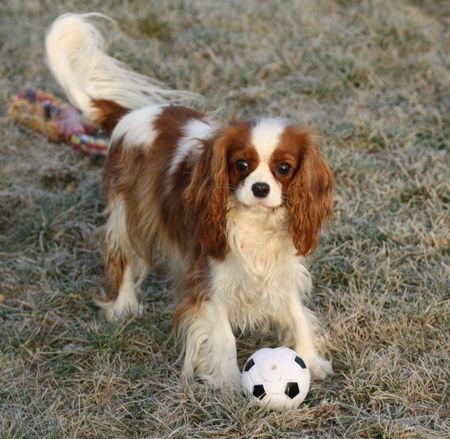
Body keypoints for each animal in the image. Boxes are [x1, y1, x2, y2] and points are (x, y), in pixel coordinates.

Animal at [45, 12, 334, 384]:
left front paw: (311, 360)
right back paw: (123, 306)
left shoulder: (281, 270)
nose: (260, 188)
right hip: (129, 214)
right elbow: (223, 336)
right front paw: (228, 383)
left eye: (283, 168)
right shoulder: (208, 282)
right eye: (241, 165)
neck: (255, 223)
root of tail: (129, 115)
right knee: (122, 254)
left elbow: (296, 315)